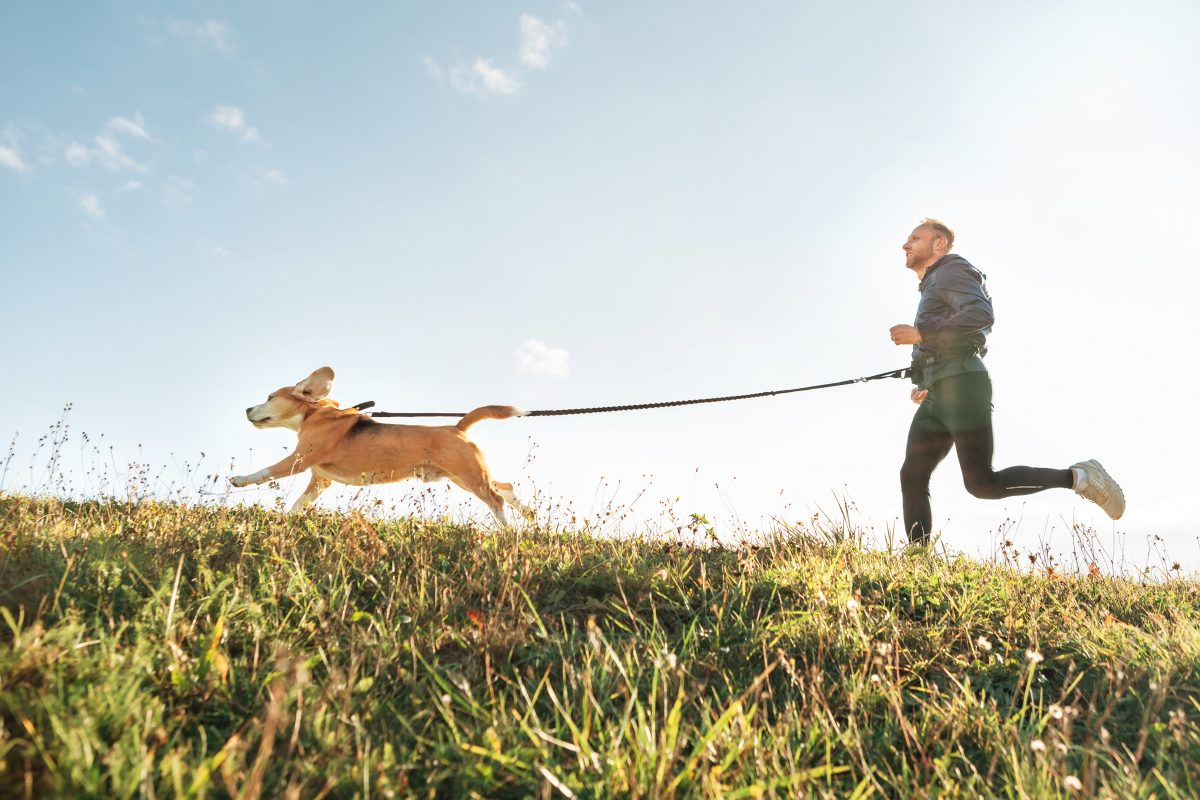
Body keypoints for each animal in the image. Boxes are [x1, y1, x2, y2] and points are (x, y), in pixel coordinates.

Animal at [231, 367, 532, 522]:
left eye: (270, 397)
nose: (246, 409)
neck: (314, 414)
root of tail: (458, 427)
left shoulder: (299, 459)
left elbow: (265, 472)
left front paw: (239, 479)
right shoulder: (320, 481)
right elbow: (299, 503)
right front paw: (287, 520)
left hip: (469, 476)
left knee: (495, 500)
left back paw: (507, 531)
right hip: (463, 476)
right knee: (505, 488)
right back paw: (528, 517)